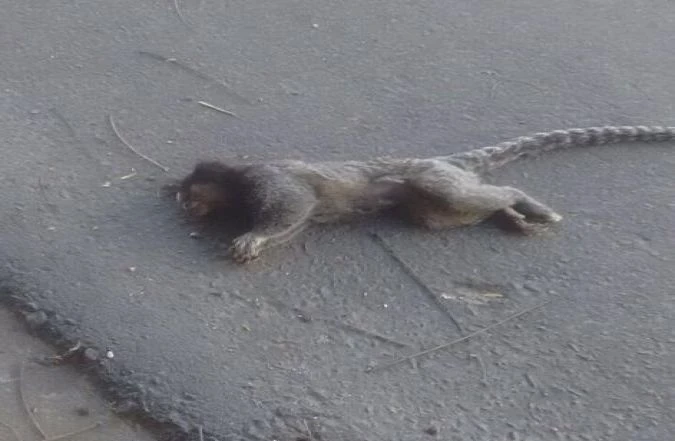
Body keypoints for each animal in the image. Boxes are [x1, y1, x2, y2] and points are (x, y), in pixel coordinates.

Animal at [175, 125, 675, 263]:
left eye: (190, 192)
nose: (185, 205)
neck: (237, 185)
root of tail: (444, 160)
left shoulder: (269, 177)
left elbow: (292, 207)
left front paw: (253, 238)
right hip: (430, 203)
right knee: (439, 213)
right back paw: (509, 214)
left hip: (434, 177)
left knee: (458, 194)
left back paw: (522, 201)